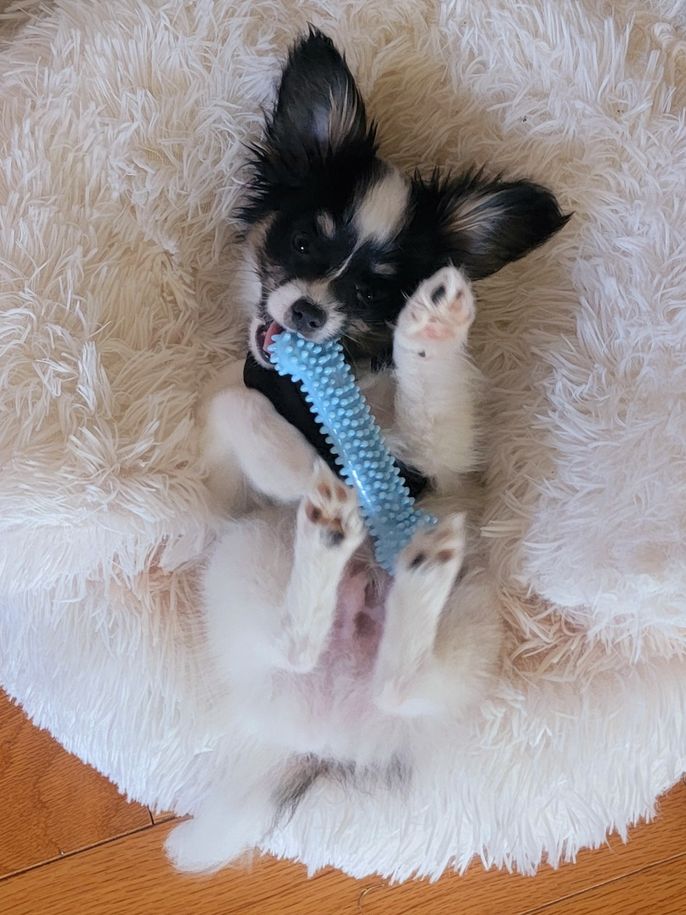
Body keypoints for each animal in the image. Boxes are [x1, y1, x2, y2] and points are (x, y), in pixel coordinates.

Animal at [166, 28, 568, 872]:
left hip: (468, 628)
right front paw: (300, 467)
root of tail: (323, 736)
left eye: (376, 292)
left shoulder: (437, 455)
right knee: (293, 644)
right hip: (243, 560)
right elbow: (232, 402)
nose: (308, 312)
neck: (339, 376)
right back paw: (327, 533)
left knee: (397, 682)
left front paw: (434, 328)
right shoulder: (226, 471)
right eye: (301, 240)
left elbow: (431, 399)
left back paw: (412, 569)